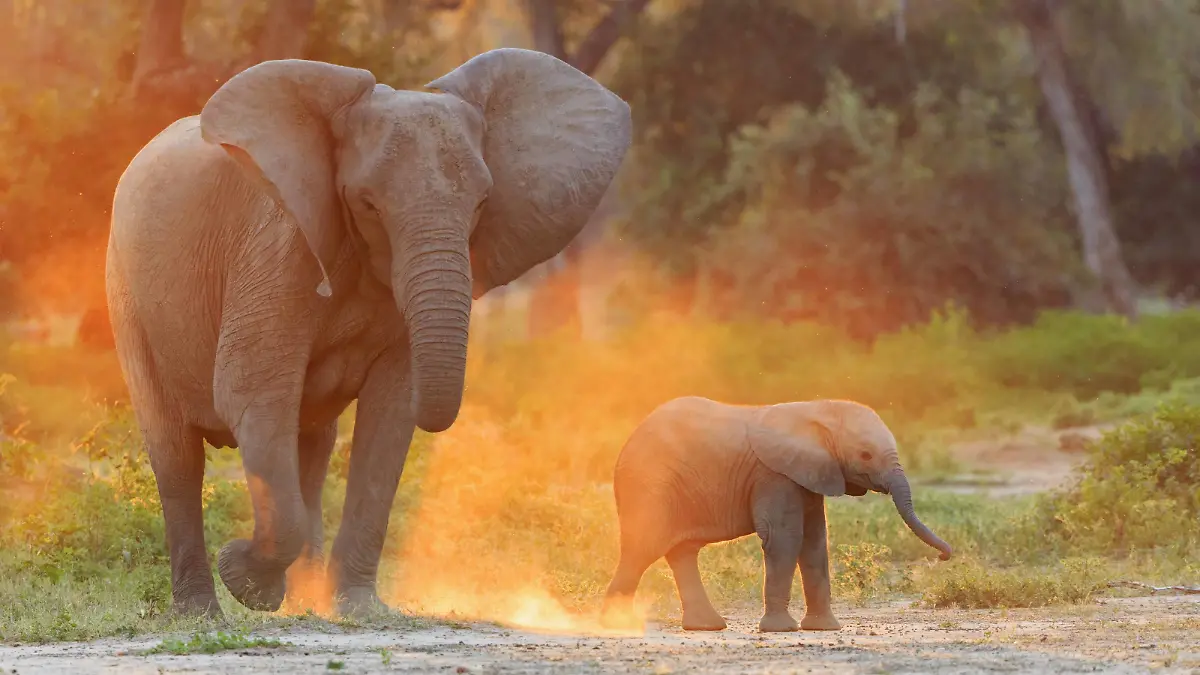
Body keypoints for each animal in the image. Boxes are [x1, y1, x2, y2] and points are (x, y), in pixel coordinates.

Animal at [104, 48, 630, 618]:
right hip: (125, 291)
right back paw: (201, 612)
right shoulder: (276, 248)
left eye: (482, 204)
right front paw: (246, 580)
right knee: (177, 454)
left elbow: (391, 411)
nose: (237, 548)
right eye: (369, 204)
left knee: (310, 445)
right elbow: (251, 394)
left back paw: (302, 604)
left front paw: (357, 608)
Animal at [600, 396, 952, 633]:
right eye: (865, 455)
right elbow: (785, 538)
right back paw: (617, 623)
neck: (816, 410)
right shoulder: (774, 475)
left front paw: (824, 629)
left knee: (681, 553)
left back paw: (707, 627)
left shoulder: (810, 474)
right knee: (643, 547)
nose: (945, 556)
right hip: (648, 487)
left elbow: (814, 542)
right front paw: (781, 629)